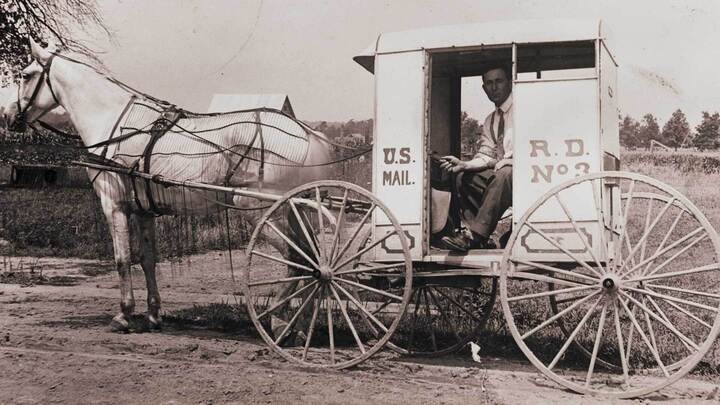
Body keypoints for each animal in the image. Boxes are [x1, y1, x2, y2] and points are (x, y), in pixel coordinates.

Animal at [4, 39, 332, 332]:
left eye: (26, 74)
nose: (8, 115)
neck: (113, 123)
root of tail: (308, 134)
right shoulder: (144, 211)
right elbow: (148, 260)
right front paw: (153, 315)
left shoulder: (114, 204)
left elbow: (122, 259)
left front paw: (124, 315)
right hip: (295, 211)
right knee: (310, 258)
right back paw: (301, 323)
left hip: (261, 211)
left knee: (296, 260)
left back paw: (279, 320)